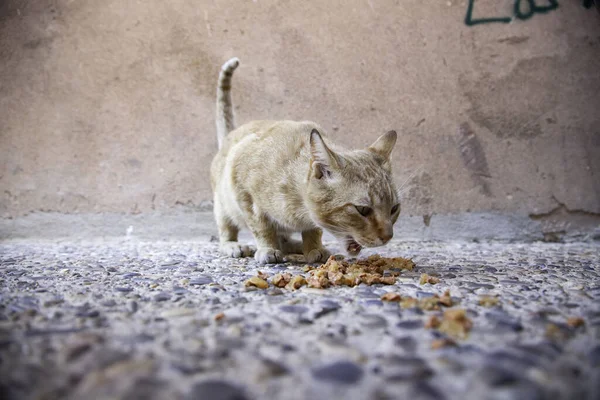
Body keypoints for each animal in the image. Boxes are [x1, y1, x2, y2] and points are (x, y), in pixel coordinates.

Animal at [209, 55, 400, 262]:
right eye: (363, 210)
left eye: (394, 208)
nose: (388, 236)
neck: (299, 209)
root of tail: (231, 133)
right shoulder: (245, 192)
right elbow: (262, 227)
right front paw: (267, 248)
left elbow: (313, 230)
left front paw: (313, 248)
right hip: (223, 207)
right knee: (227, 230)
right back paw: (233, 245)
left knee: (284, 239)